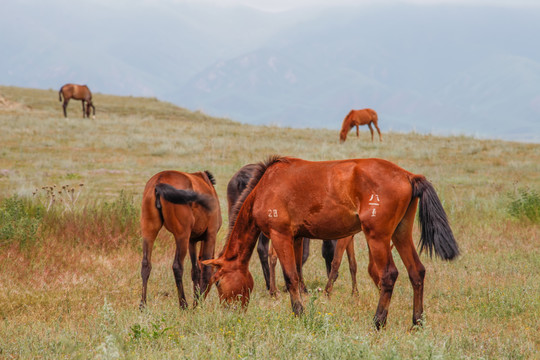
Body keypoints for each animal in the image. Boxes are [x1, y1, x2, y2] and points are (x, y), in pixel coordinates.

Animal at [141, 169, 224, 310]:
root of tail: (159, 181)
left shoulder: (192, 240)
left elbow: (195, 271)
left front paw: (197, 300)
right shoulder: (210, 235)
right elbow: (206, 271)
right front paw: (198, 304)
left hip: (149, 231)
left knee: (146, 265)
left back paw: (142, 305)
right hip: (182, 236)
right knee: (177, 266)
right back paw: (183, 305)